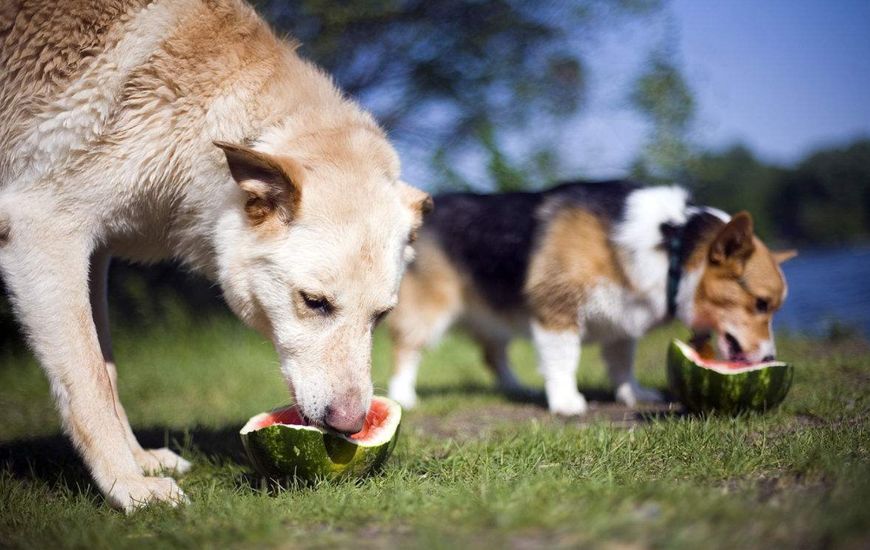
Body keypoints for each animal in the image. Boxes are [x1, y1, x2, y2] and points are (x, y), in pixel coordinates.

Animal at [0, 0, 430, 516]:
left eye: (381, 316)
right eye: (314, 302)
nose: (350, 426)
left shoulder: (95, 252)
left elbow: (107, 370)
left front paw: (139, 461)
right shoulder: (43, 231)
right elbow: (89, 382)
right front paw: (128, 485)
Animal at [388, 182, 796, 418]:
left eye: (772, 308)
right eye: (761, 303)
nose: (770, 360)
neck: (673, 246)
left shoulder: (624, 322)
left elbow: (622, 364)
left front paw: (633, 394)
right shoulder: (557, 310)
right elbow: (563, 361)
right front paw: (567, 403)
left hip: (494, 316)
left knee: (493, 354)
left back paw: (516, 387)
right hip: (430, 311)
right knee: (407, 351)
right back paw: (404, 396)